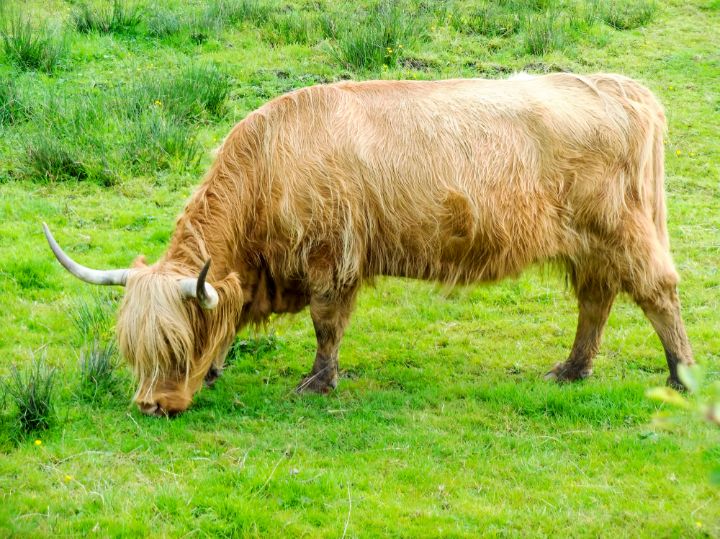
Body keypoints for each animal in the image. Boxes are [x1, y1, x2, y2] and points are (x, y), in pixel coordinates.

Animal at [42, 73, 696, 418]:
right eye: (136, 349)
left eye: (174, 347)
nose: (153, 405)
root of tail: (626, 88)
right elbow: (229, 314)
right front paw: (218, 368)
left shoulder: (332, 259)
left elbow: (326, 326)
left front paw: (316, 383)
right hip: (591, 244)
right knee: (596, 300)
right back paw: (572, 369)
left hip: (623, 230)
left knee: (658, 292)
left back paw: (681, 375)